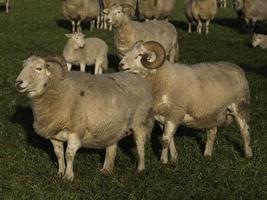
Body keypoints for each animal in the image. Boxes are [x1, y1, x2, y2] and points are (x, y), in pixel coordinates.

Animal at [15, 54, 155, 180]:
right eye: (24, 66)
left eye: (39, 68)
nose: (18, 82)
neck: (59, 91)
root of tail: (138, 78)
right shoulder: (54, 135)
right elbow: (58, 154)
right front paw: (60, 173)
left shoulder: (76, 131)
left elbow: (69, 155)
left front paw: (68, 176)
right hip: (113, 126)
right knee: (111, 148)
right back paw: (106, 170)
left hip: (139, 122)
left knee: (140, 146)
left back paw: (140, 169)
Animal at [120, 40, 254, 164]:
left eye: (140, 54)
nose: (120, 64)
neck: (161, 77)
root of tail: (237, 68)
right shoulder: (162, 117)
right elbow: (170, 138)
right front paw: (174, 158)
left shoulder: (175, 113)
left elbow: (165, 139)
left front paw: (163, 161)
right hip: (213, 112)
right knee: (212, 132)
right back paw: (207, 155)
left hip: (240, 105)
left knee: (245, 131)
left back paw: (248, 155)